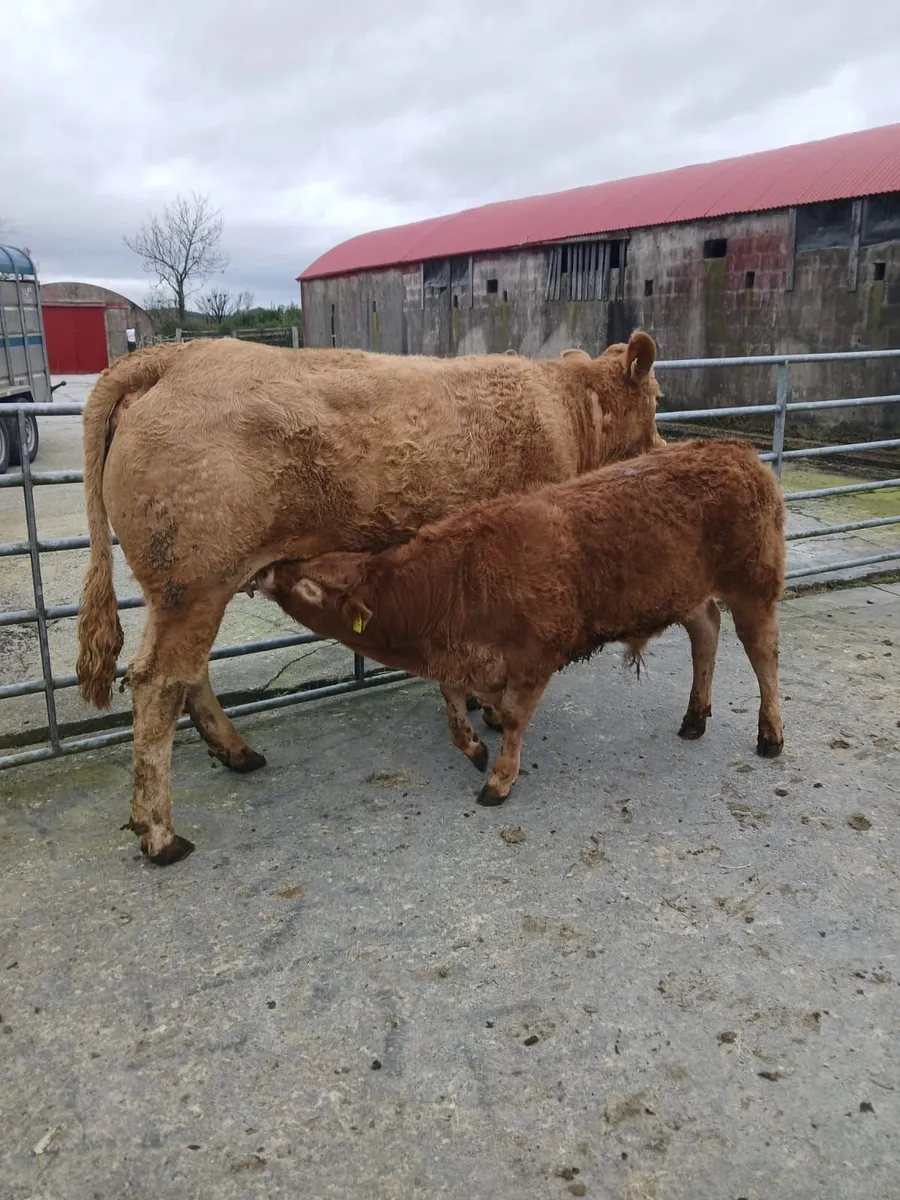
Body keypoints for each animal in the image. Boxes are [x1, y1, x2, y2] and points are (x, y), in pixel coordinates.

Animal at [76, 332, 665, 864]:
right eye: (657, 395)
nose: (662, 447)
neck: (567, 409)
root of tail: (176, 355)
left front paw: (479, 707)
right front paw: (494, 716)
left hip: (185, 592)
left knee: (186, 674)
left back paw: (237, 753)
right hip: (194, 582)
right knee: (158, 684)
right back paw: (160, 834)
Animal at [255, 437, 786, 808]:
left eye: (308, 585)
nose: (267, 569)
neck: (454, 582)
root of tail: (734, 450)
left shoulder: (534, 657)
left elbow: (512, 716)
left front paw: (499, 780)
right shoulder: (463, 658)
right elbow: (453, 706)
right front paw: (474, 748)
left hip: (754, 585)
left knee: (763, 654)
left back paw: (770, 735)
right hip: (685, 590)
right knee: (706, 632)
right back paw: (695, 718)